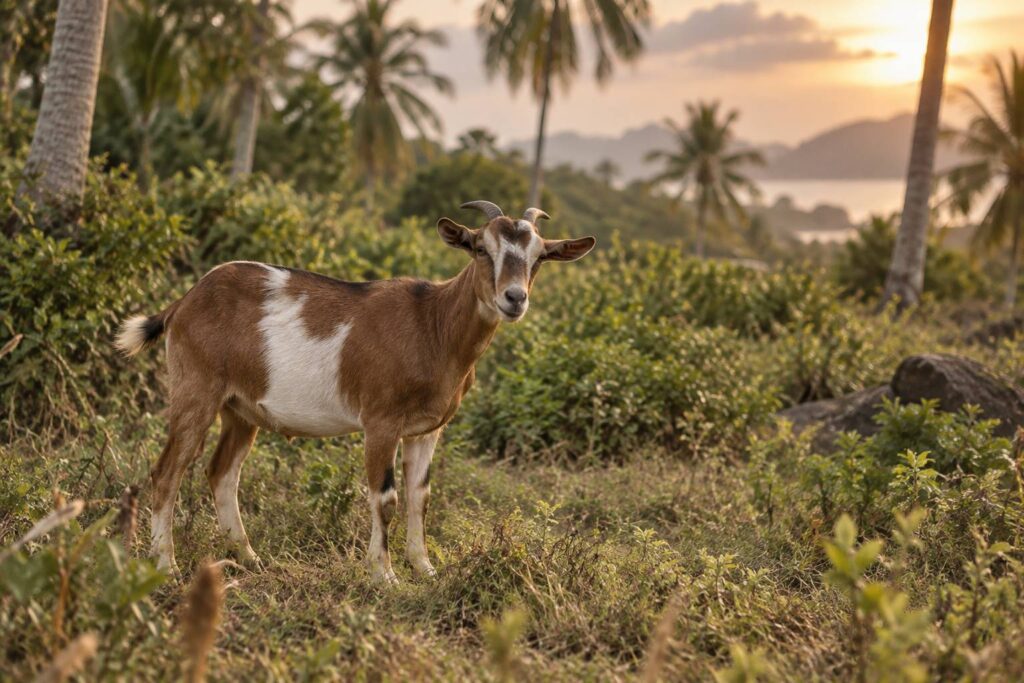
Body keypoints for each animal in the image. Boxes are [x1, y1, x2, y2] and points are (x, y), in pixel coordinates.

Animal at [114, 201, 595, 583]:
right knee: (167, 471)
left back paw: (249, 558)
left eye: (539, 257)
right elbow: (385, 497)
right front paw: (384, 575)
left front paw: (424, 568)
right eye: (480, 248)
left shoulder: (428, 429)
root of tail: (184, 303)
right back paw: (167, 565)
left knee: (221, 472)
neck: (434, 325)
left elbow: (420, 496)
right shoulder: (381, 421)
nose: (513, 298)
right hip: (196, 389)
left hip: (241, 409)